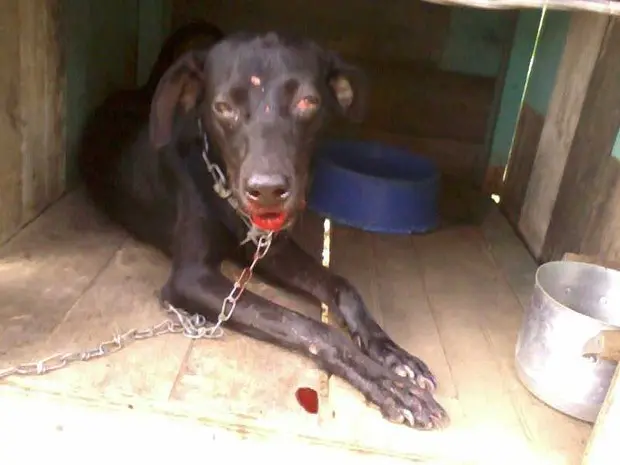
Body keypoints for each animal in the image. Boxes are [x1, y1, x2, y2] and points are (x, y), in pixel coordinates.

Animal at [80, 28, 448, 428]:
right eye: (223, 106)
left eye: (308, 102)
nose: (268, 190)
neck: (220, 185)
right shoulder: (192, 278)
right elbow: (308, 326)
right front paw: (388, 386)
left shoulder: (270, 251)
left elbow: (342, 286)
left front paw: (392, 353)